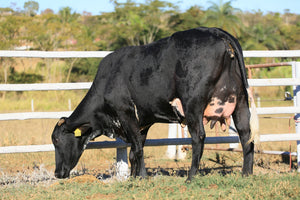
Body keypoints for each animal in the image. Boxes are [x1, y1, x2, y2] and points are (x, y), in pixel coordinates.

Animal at [51, 27, 255, 182]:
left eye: (57, 140)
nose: (57, 173)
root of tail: (216, 31)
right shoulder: (144, 121)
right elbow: (134, 150)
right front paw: (133, 177)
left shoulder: (126, 113)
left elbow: (138, 149)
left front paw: (141, 177)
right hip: (240, 102)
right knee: (246, 136)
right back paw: (246, 174)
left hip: (193, 104)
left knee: (199, 137)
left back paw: (191, 177)